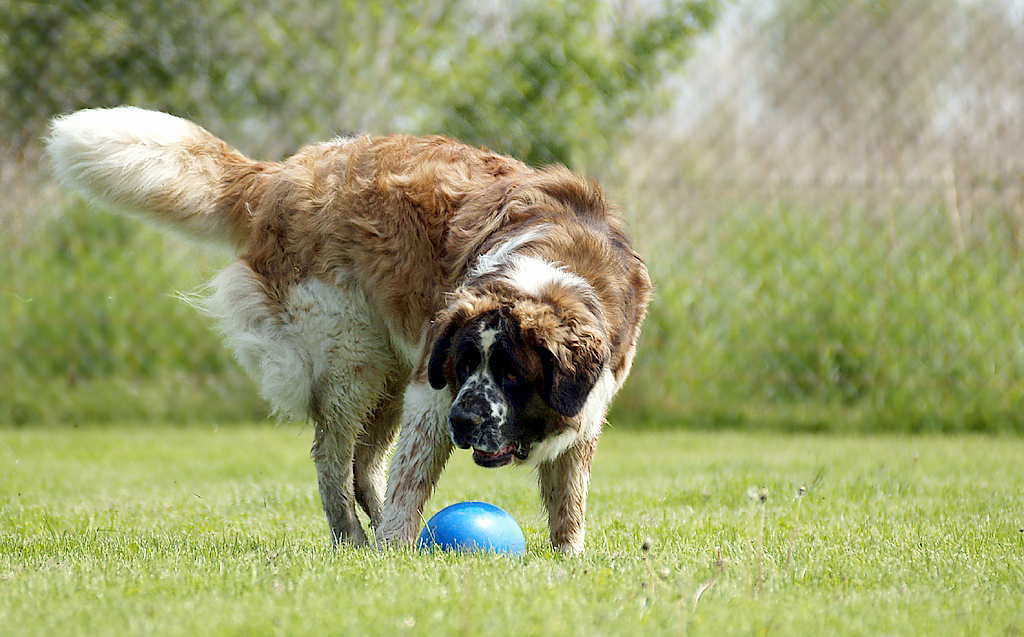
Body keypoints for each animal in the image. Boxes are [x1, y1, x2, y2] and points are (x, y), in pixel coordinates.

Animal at [46, 107, 647, 557]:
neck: (549, 270)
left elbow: (568, 497)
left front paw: (569, 558)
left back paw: (374, 532)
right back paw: (359, 539)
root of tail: (282, 175)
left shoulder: (588, 401)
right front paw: (397, 548)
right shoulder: (432, 393)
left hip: (391, 368)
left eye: (513, 375)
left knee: (364, 465)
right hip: (353, 359)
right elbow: (412, 478)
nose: (464, 421)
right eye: (465, 369)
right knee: (332, 459)